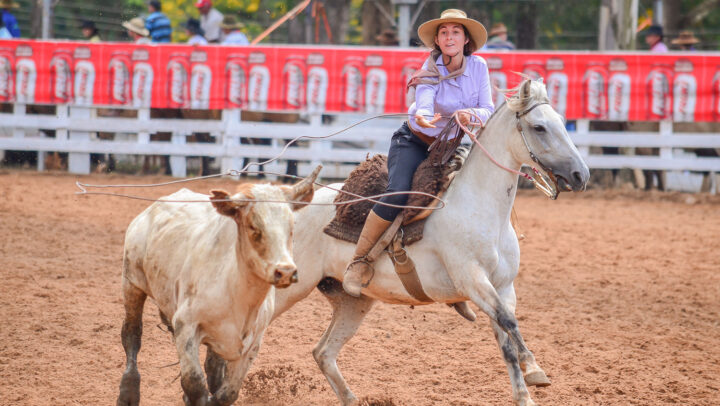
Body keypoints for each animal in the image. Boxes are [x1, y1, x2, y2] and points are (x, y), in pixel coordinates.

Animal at [116, 166, 320, 406]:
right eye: (254, 227)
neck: (237, 292)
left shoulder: (252, 343)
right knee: (132, 335)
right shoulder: (185, 325)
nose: (285, 271)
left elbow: (227, 392)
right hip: (131, 283)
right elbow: (195, 384)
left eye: (291, 227)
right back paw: (128, 392)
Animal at [272, 79, 592, 406]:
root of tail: (295, 203)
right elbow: (509, 322)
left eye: (562, 123)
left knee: (323, 352)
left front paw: (525, 392)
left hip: (353, 302)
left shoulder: (503, 287)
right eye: (539, 127)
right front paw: (534, 367)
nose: (581, 174)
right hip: (291, 289)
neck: (479, 208)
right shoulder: (472, 280)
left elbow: (506, 337)